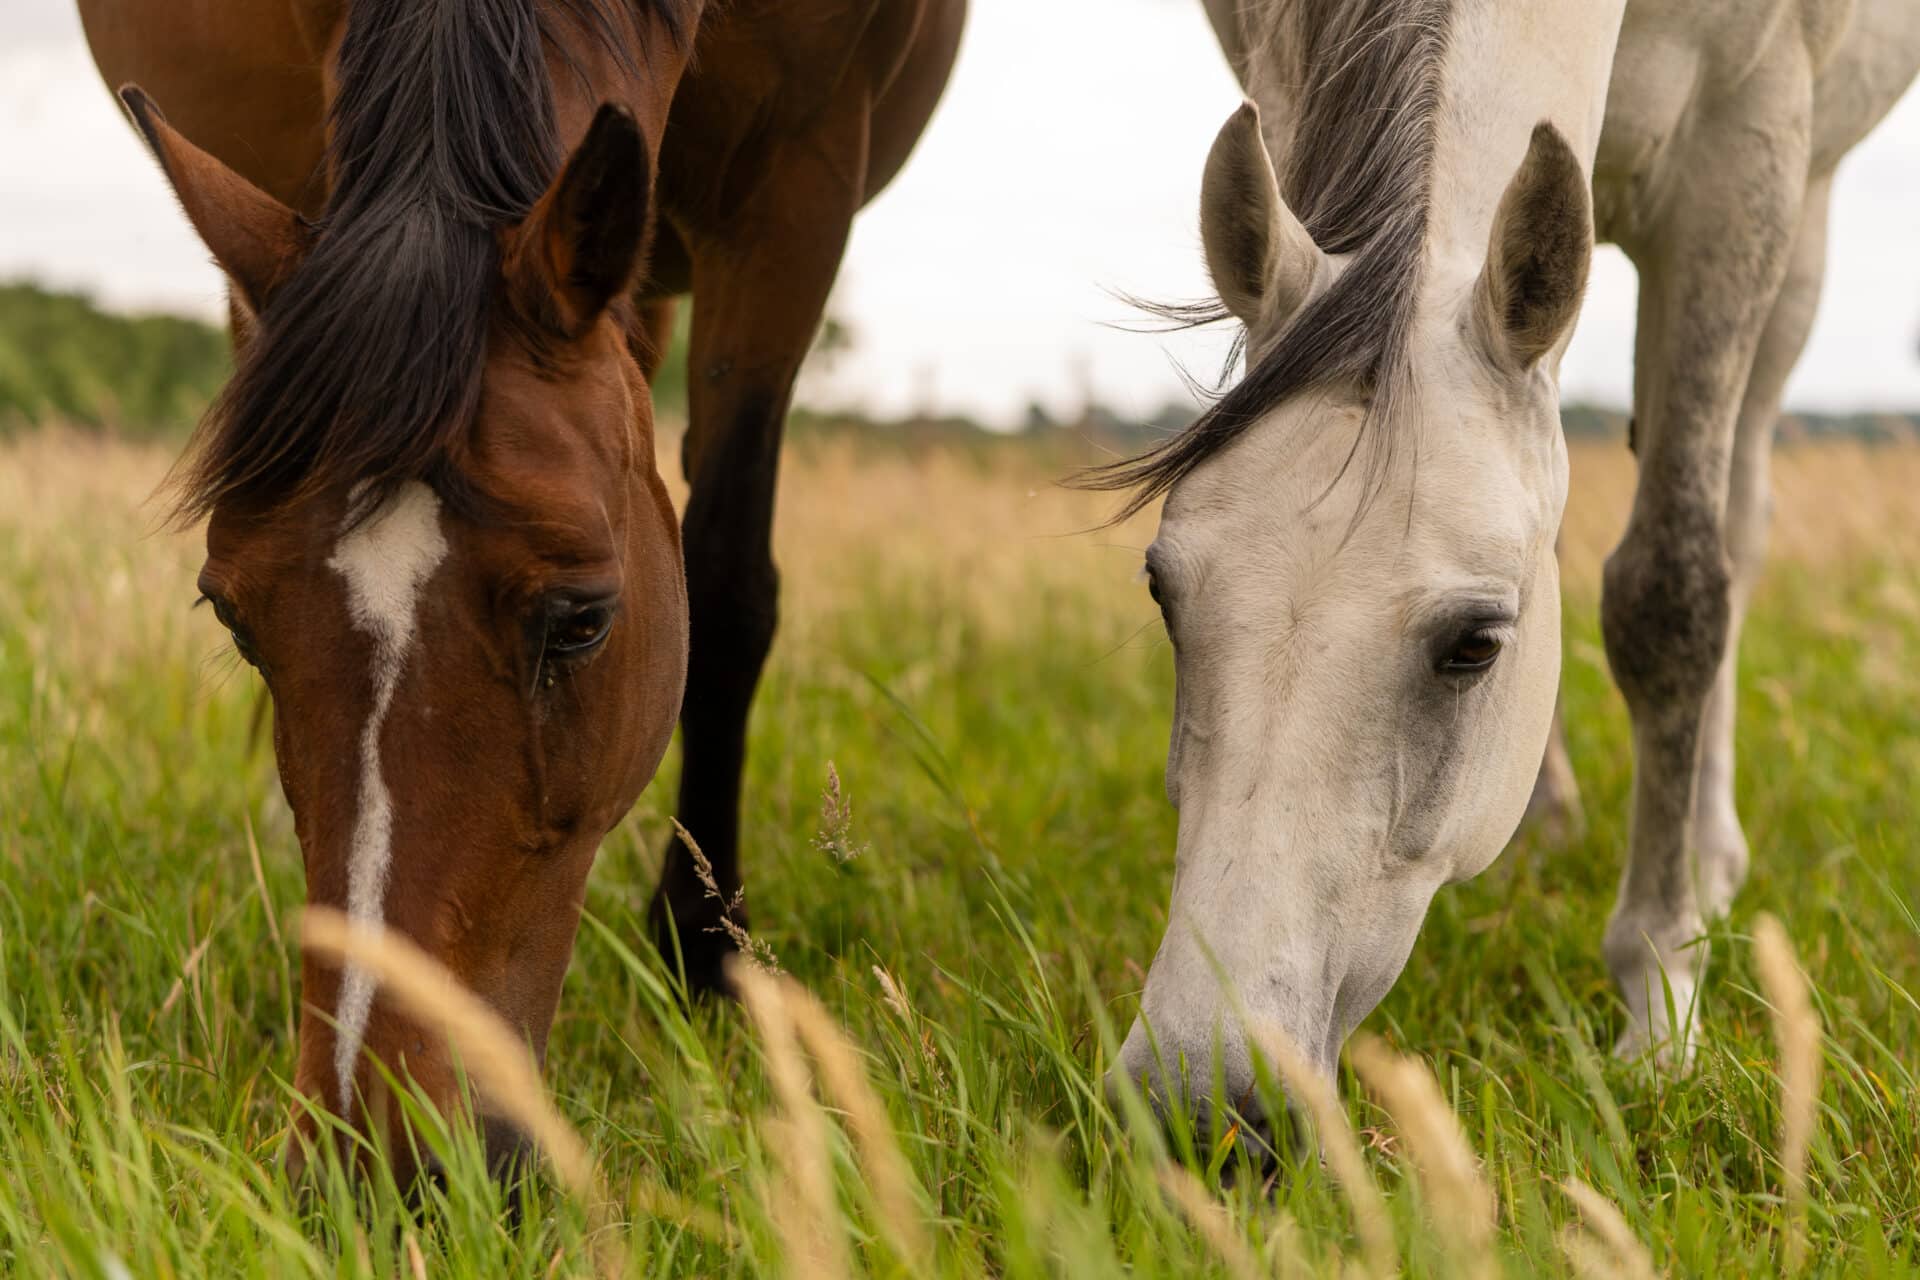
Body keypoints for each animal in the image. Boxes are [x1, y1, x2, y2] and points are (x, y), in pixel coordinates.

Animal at [81, 0, 964, 1184]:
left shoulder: (796, 176)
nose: (379, 1157)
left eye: (583, 620)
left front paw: (704, 957)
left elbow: (728, 586)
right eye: (234, 618)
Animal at [1092, 0, 1920, 1138]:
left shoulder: (1745, 148)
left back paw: (1710, 861)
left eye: (1475, 645)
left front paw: (1660, 998)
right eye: (1163, 593)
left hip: (1802, 227)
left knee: (1738, 523)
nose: (1200, 1108)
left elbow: (1674, 594)